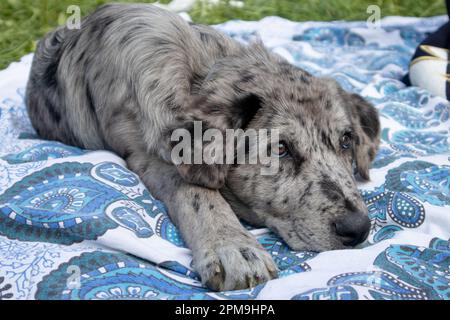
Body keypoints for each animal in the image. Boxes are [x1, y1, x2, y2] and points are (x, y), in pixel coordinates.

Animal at [25, 3, 380, 292]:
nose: (358, 229)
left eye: (346, 141)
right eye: (280, 149)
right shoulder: (146, 154)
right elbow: (196, 192)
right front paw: (232, 247)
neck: (198, 73)